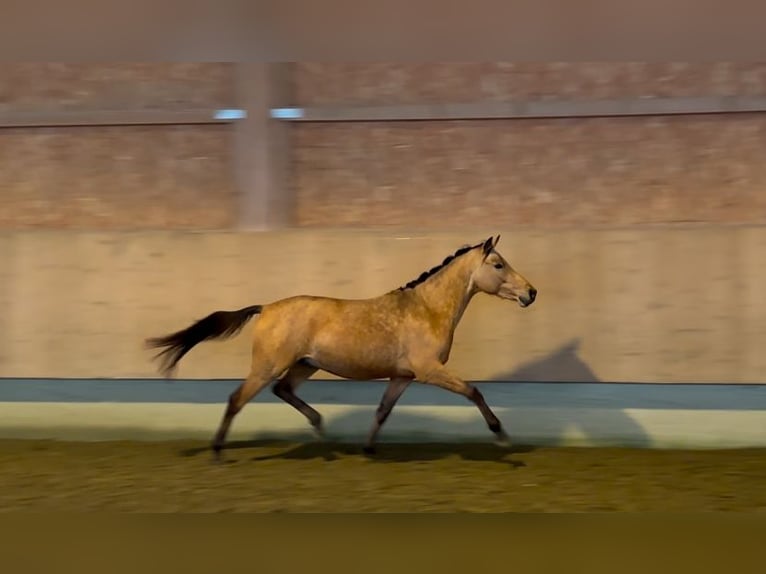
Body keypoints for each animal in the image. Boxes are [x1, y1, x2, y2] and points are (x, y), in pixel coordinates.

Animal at [147, 235, 536, 464]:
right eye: (498, 264)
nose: (531, 293)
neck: (426, 309)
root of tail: (266, 307)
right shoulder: (429, 371)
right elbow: (473, 391)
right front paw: (502, 437)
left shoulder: (403, 376)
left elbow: (382, 411)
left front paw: (368, 449)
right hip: (268, 366)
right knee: (237, 399)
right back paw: (217, 452)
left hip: (305, 364)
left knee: (283, 390)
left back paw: (321, 431)